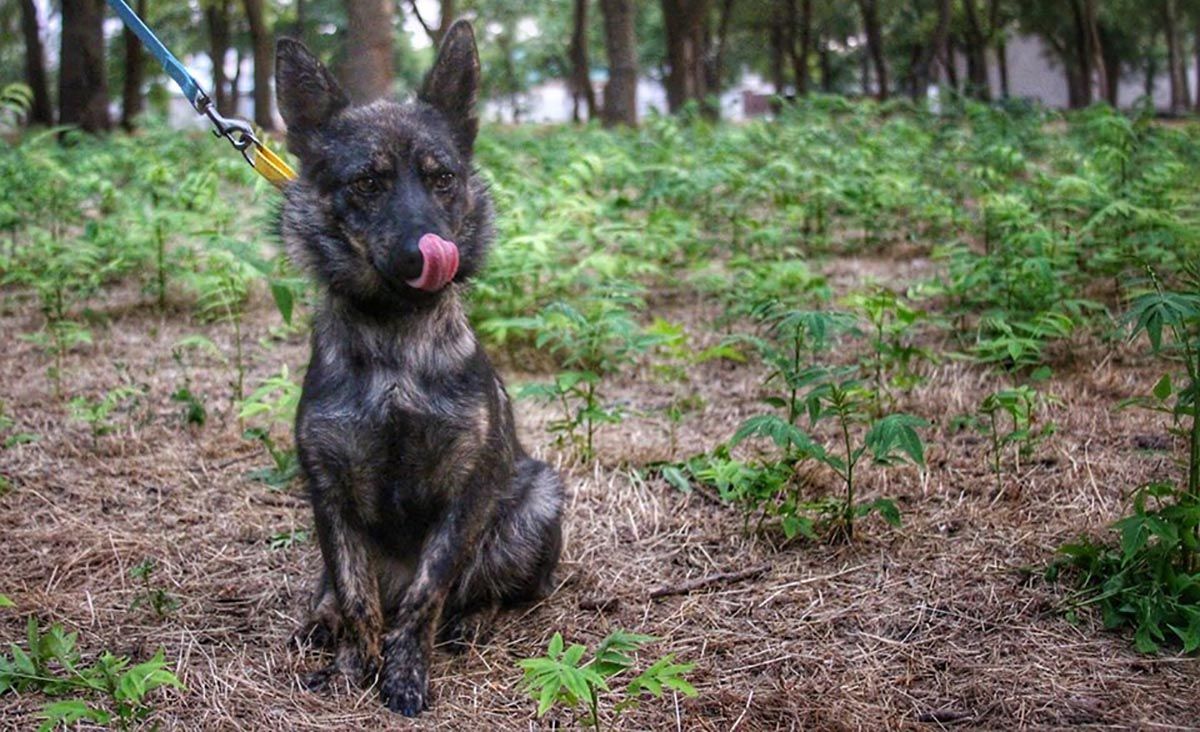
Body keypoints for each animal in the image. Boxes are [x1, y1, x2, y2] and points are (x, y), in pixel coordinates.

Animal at [276, 21, 566, 710]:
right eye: (367, 183)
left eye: (443, 178)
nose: (429, 252)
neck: (396, 343)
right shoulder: (329, 491)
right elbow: (357, 596)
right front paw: (352, 668)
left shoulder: (468, 490)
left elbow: (428, 591)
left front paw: (405, 672)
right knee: (332, 590)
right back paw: (318, 622)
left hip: (537, 501)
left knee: (492, 592)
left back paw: (474, 620)